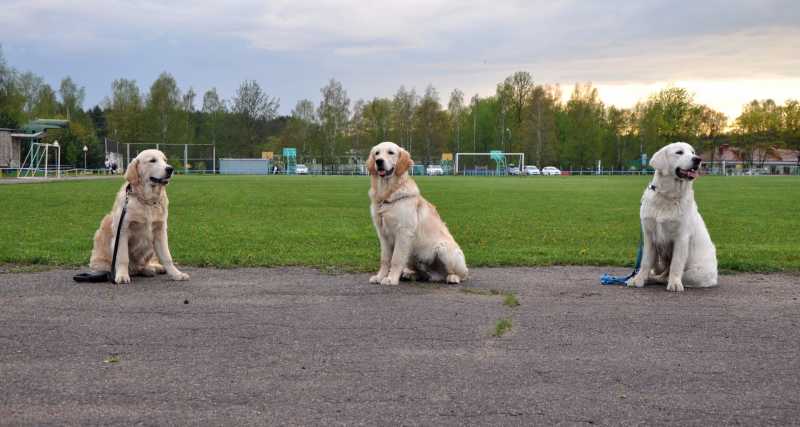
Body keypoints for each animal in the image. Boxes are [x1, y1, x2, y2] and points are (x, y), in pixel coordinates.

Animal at [89, 149, 189, 284]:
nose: (170, 169)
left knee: (142, 266)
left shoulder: (160, 231)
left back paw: (151, 269)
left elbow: (167, 257)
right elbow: (123, 257)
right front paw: (122, 275)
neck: (147, 201)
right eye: (152, 160)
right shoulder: (122, 231)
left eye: (165, 160)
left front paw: (177, 274)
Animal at [366, 141, 468, 285]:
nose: (379, 161)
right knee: (425, 274)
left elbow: (396, 259)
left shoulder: (403, 232)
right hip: (413, 257)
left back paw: (452, 278)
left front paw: (391, 279)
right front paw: (380, 276)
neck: (387, 195)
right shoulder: (383, 234)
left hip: (443, 249)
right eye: (376, 153)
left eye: (391, 152)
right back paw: (410, 274)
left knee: (462, 273)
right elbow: (385, 259)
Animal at [627, 142, 718, 292]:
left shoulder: (681, 237)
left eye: (693, 152)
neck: (668, 196)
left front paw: (674, 283)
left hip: (695, 274)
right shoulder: (649, 235)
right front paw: (638, 279)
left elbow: (676, 263)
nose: (698, 159)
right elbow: (645, 261)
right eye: (679, 152)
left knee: (669, 276)